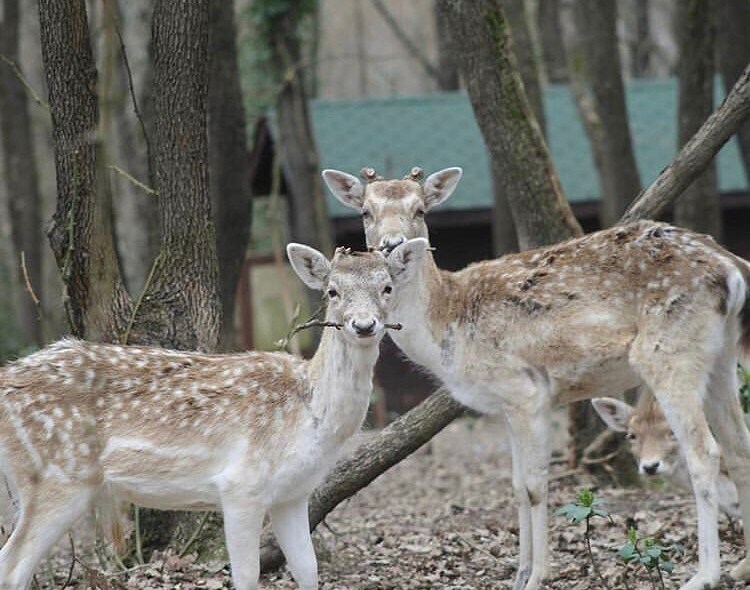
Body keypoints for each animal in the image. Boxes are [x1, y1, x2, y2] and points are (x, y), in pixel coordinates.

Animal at [0, 240, 428, 590]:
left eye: (387, 288)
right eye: (332, 291)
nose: (364, 325)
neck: (312, 416)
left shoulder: (293, 494)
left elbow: (308, 571)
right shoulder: (240, 485)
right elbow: (247, 577)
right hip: (58, 478)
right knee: (13, 567)